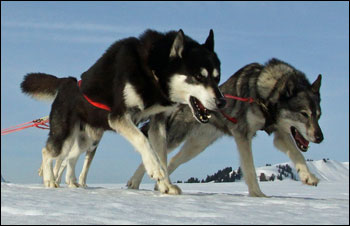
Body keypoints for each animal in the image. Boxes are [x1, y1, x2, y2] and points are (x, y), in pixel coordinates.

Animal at [21, 28, 224, 194]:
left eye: (217, 78)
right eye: (198, 76)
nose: (221, 101)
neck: (152, 73)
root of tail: (66, 82)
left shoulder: (158, 122)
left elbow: (162, 155)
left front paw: (166, 185)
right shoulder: (119, 116)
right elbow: (143, 141)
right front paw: (155, 168)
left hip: (86, 140)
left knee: (68, 157)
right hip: (65, 136)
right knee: (47, 152)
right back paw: (49, 180)